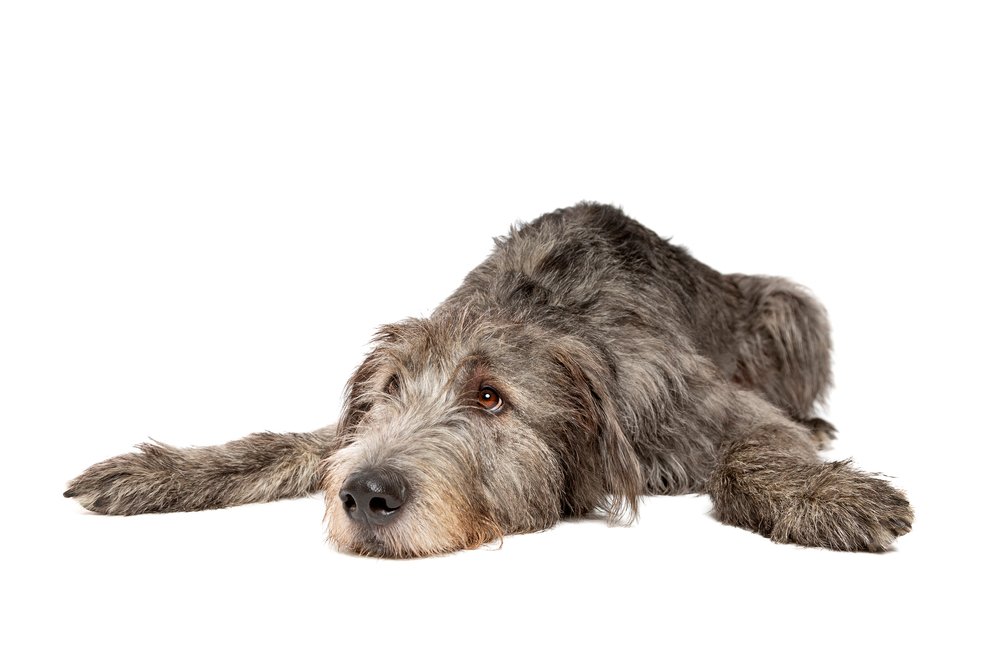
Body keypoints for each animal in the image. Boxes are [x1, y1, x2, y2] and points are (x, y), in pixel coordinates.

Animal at [58, 204, 912, 560]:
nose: (366, 494)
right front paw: (157, 471)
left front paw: (829, 495)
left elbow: (754, 448)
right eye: (389, 391)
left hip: (789, 305)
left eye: (491, 396)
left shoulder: (701, 401)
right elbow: (293, 443)